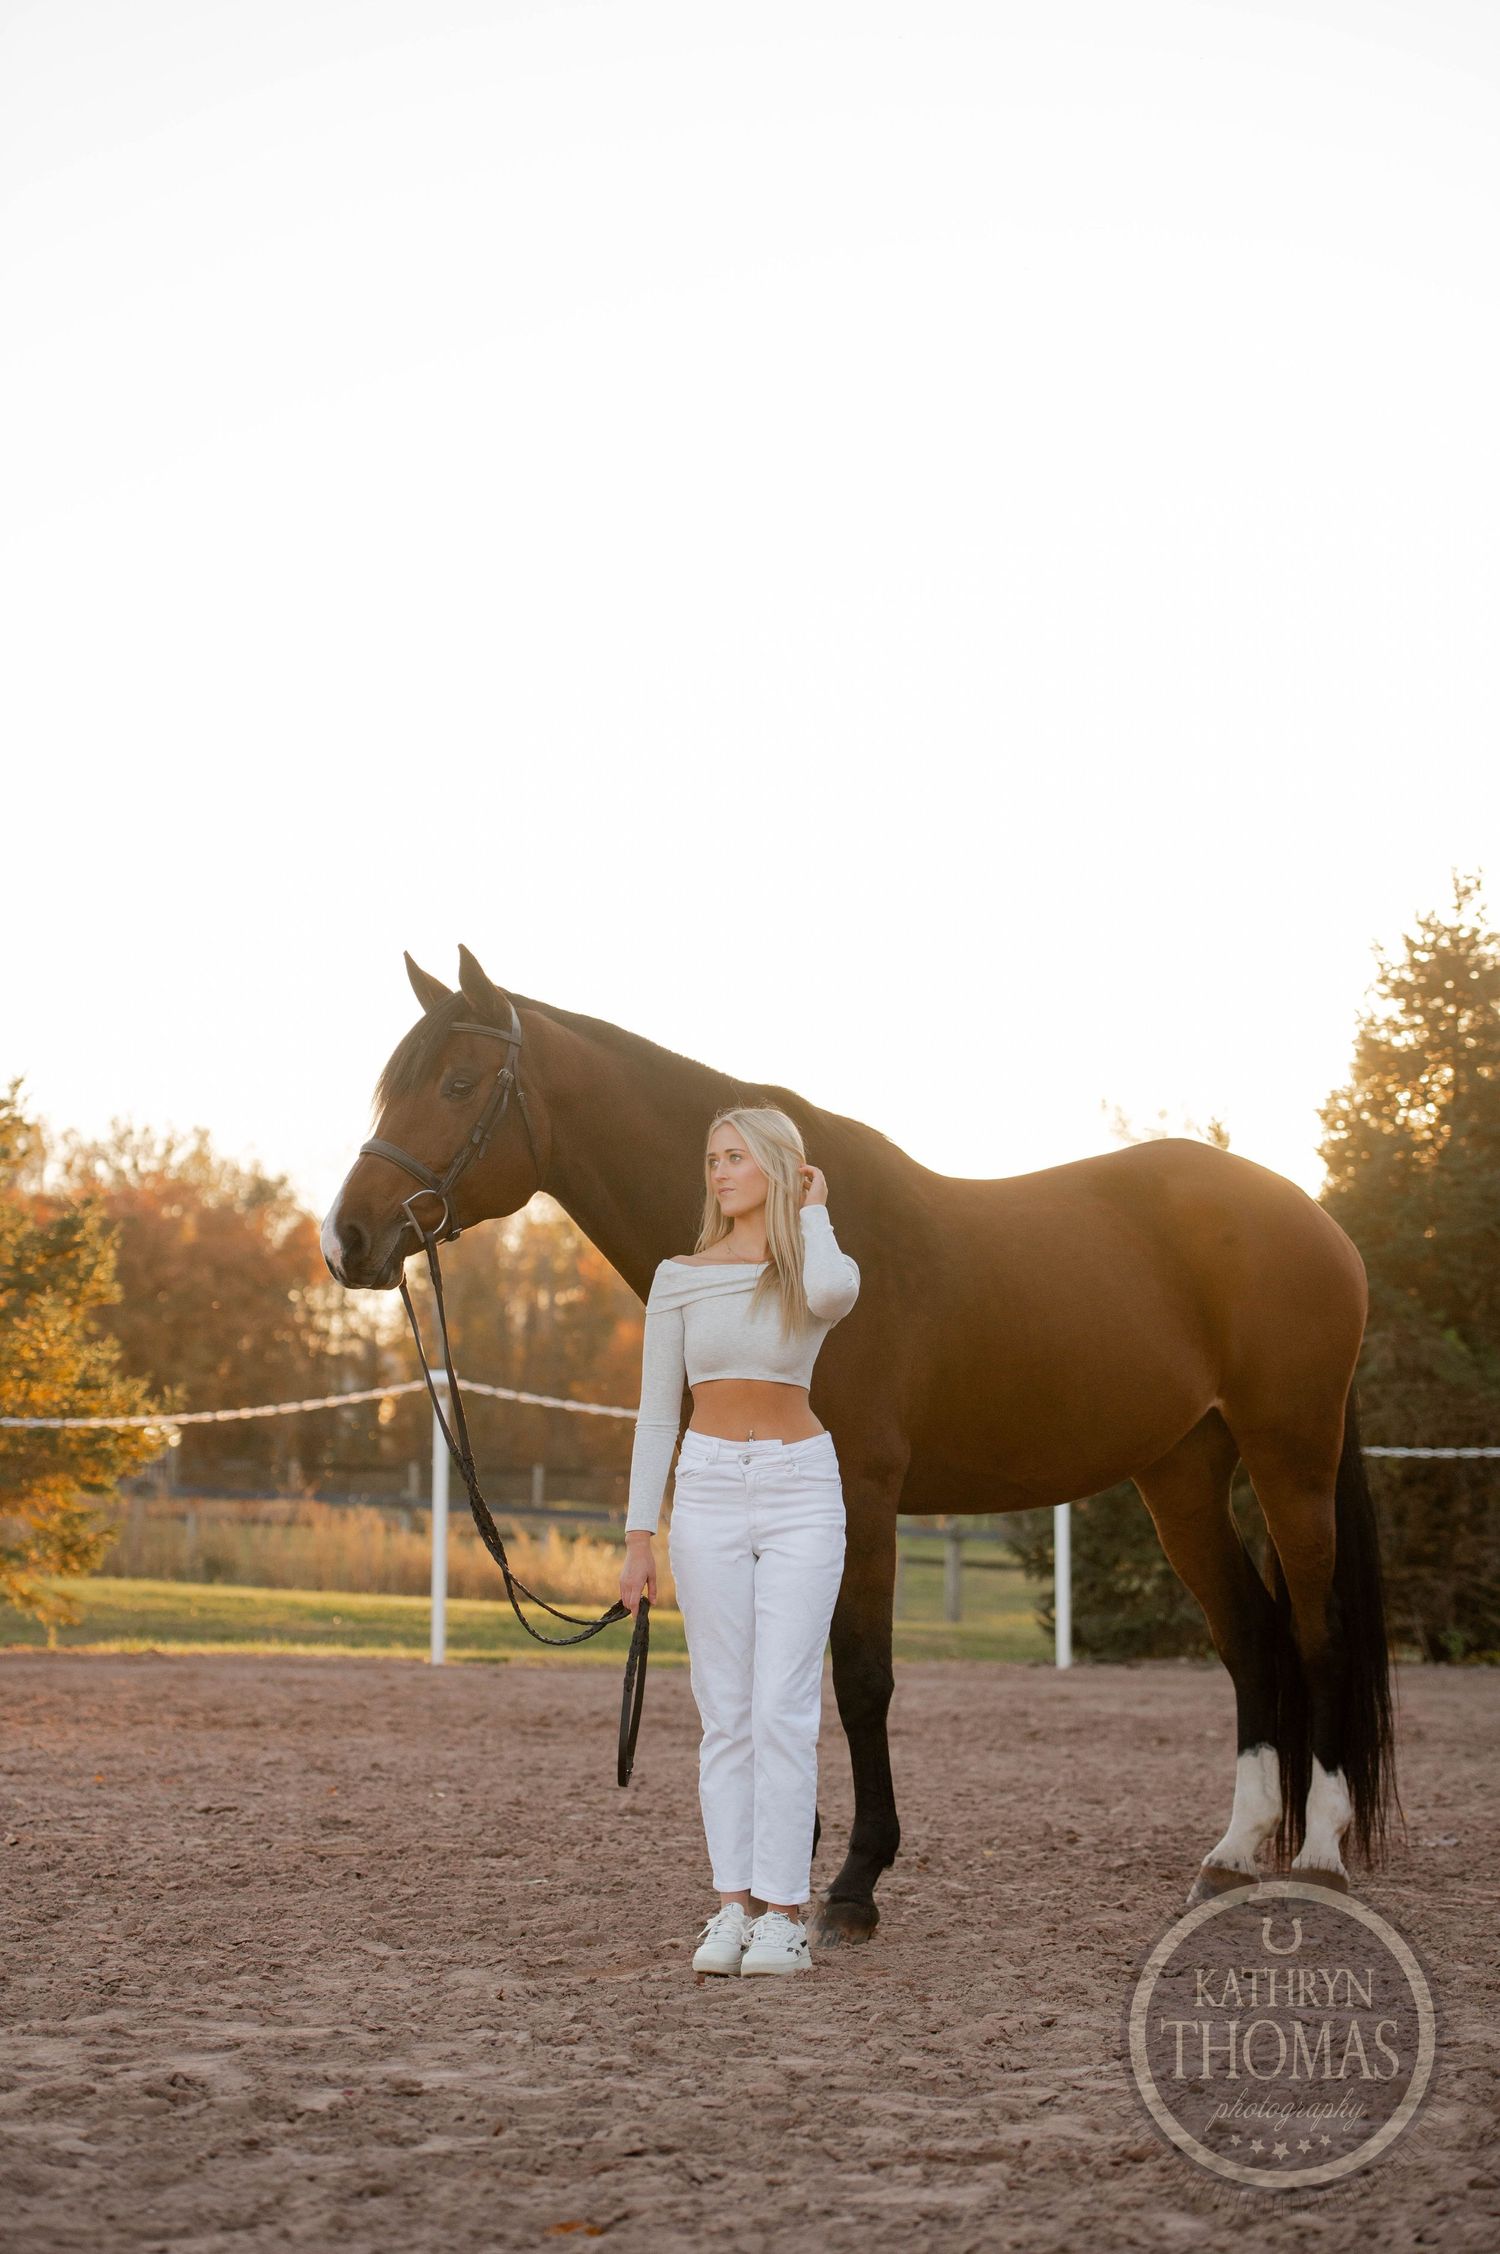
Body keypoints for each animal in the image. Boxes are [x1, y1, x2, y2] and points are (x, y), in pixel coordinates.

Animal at [321, 945, 1397, 1942]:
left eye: (459, 1085)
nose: (347, 1240)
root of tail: (1313, 1217)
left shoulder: (865, 1498)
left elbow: (860, 1680)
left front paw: (854, 1881)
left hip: (1289, 1458)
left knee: (1317, 1630)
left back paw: (1319, 1855)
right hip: (1180, 1473)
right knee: (1249, 1638)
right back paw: (1231, 1855)